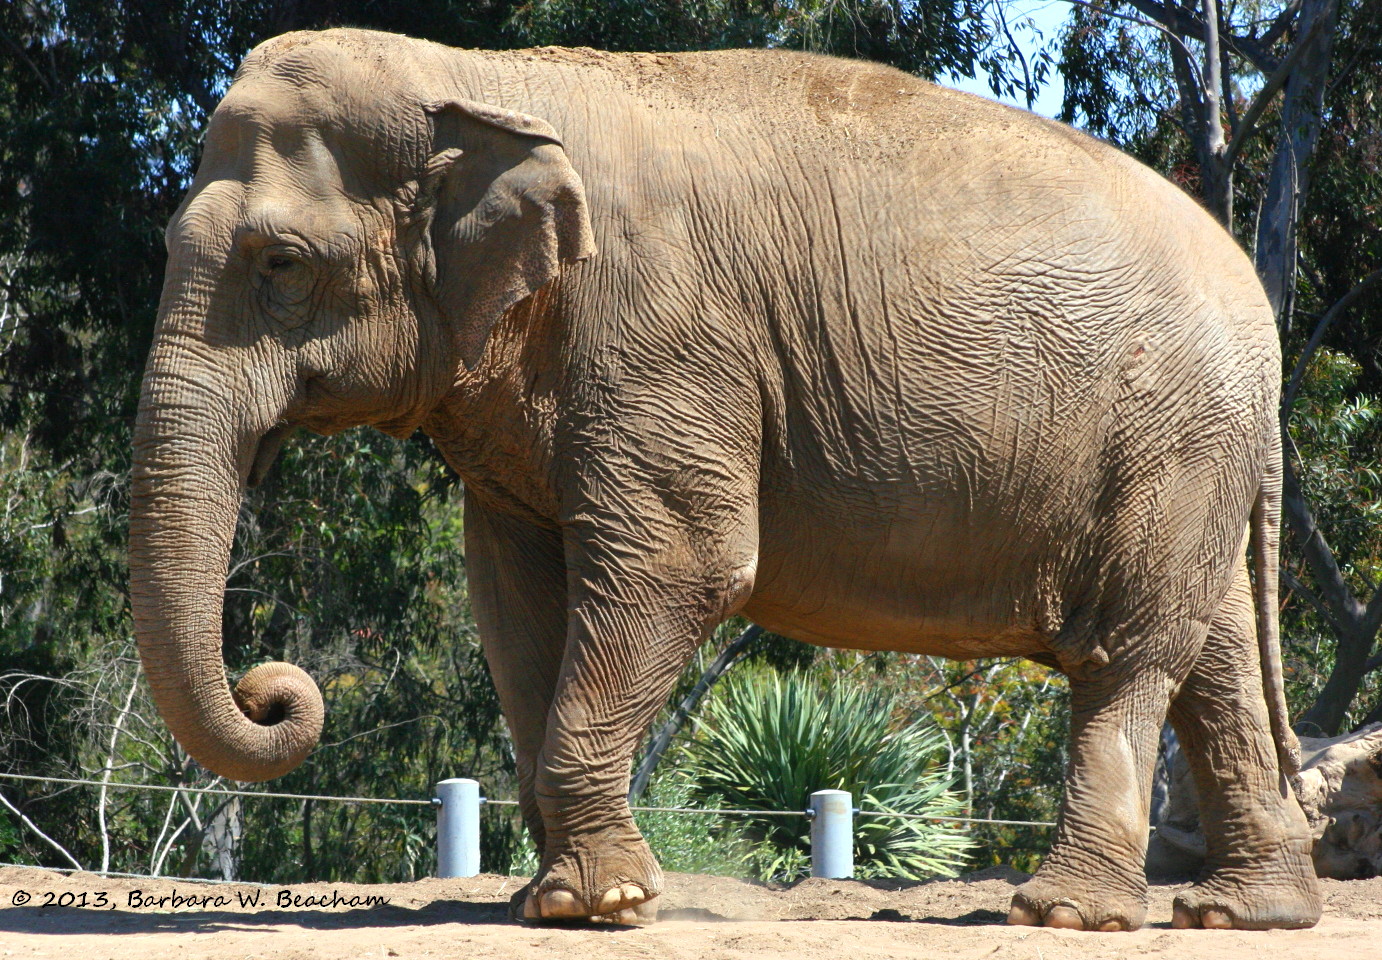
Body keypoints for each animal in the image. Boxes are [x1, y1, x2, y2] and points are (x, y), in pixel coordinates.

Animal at [129, 27, 1322, 932]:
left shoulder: (660, 337)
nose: (272, 689)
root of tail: (1262, 327)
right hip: (1190, 461)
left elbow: (682, 564)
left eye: (282, 267)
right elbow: (513, 597)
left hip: (1168, 444)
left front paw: (596, 906)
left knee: (1128, 651)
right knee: (1210, 650)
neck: (483, 78)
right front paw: (550, 895)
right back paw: (1245, 914)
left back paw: (1067, 914)